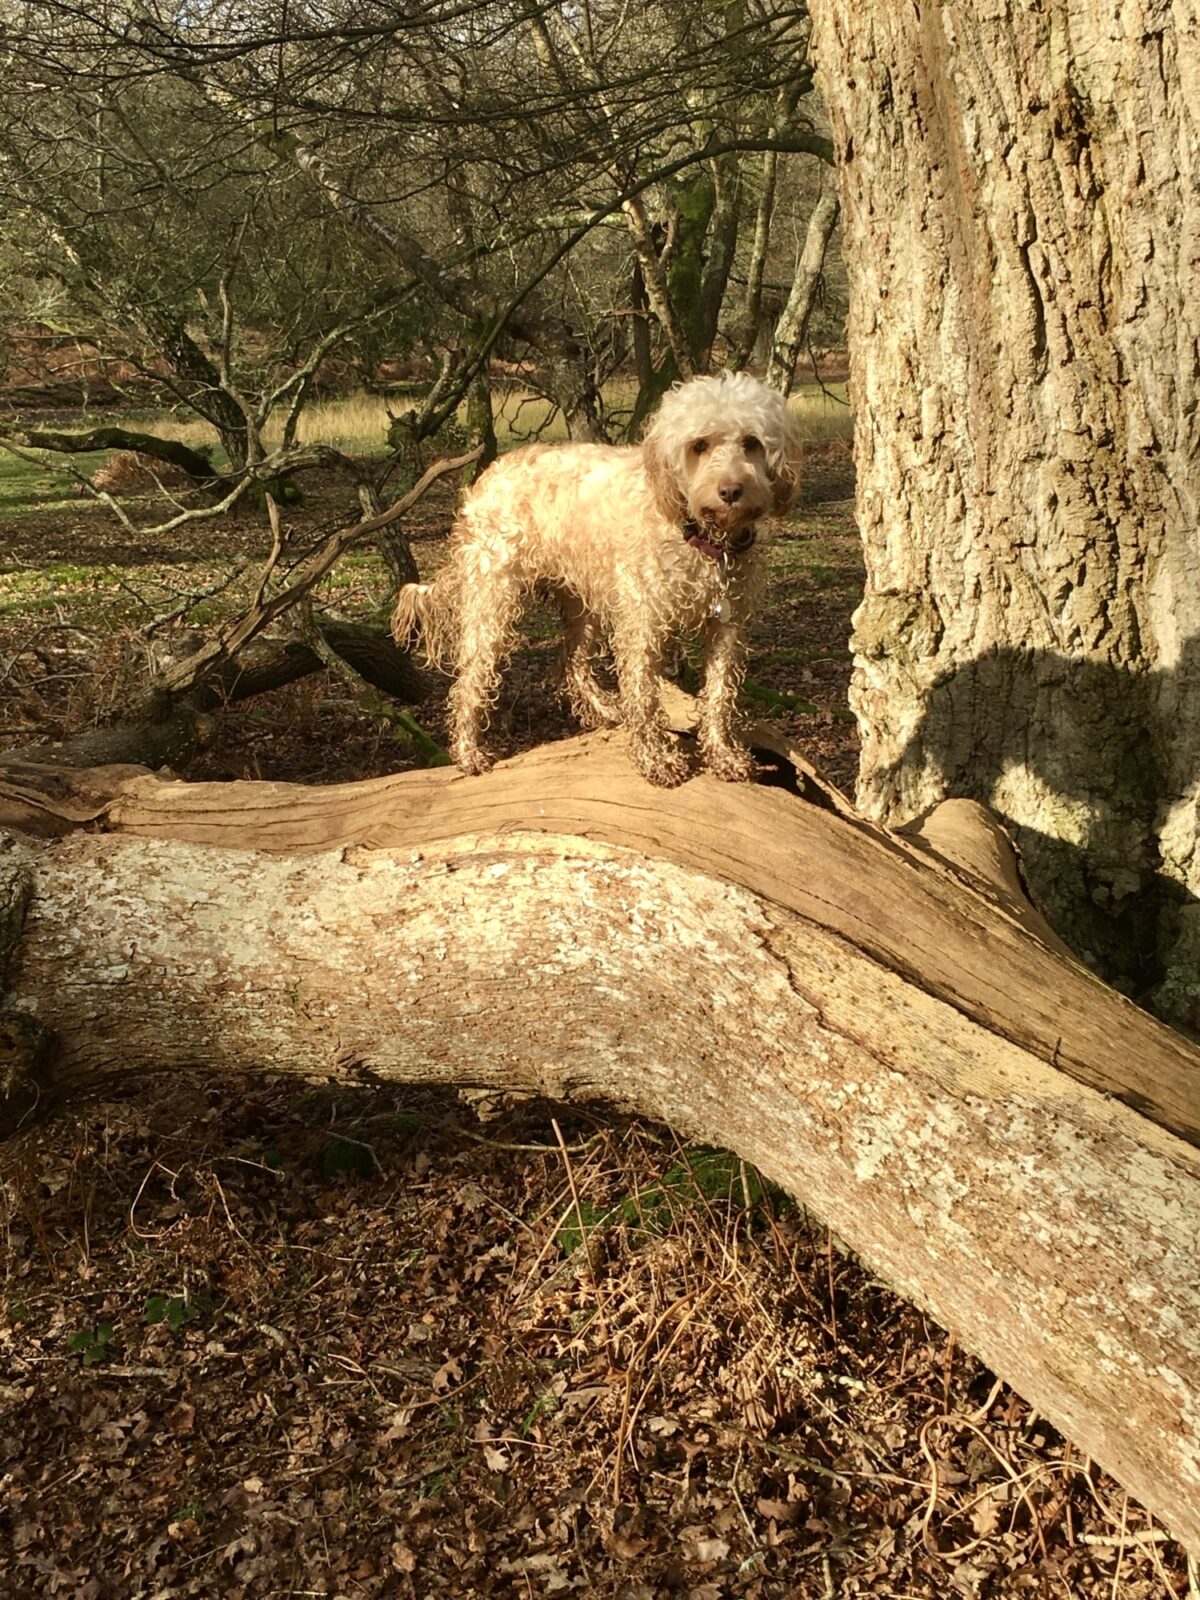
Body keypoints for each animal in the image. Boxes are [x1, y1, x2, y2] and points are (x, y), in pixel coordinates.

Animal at [395, 368, 803, 780]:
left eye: (751, 442)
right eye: (699, 445)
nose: (731, 490)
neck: (700, 538)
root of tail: (482, 483)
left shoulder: (728, 626)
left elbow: (720, 694)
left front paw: (722, 753)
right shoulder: (642, 625)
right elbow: (644, 693)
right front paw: (655, 757)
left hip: (582, 605)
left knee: (569, 661)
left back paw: (603, 709)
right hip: (493, 605)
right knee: (469, 683)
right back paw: (469, 752)